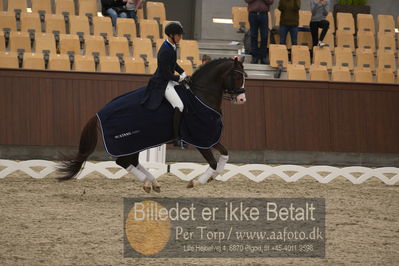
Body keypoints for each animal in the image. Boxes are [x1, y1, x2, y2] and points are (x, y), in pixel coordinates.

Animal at [57, 57, 248, 192]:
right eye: (237, 75)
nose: (242, 99)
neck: (200, 95)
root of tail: (99, 113)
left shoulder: (210, 138)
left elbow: (225, 155)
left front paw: (211, 177)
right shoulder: (200, 139)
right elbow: (214, 162)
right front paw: (196, 182)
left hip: (136, 143)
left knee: (131, 162)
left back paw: (153, 182)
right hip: (128, 142)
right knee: (123, 162)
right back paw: (148, 183)